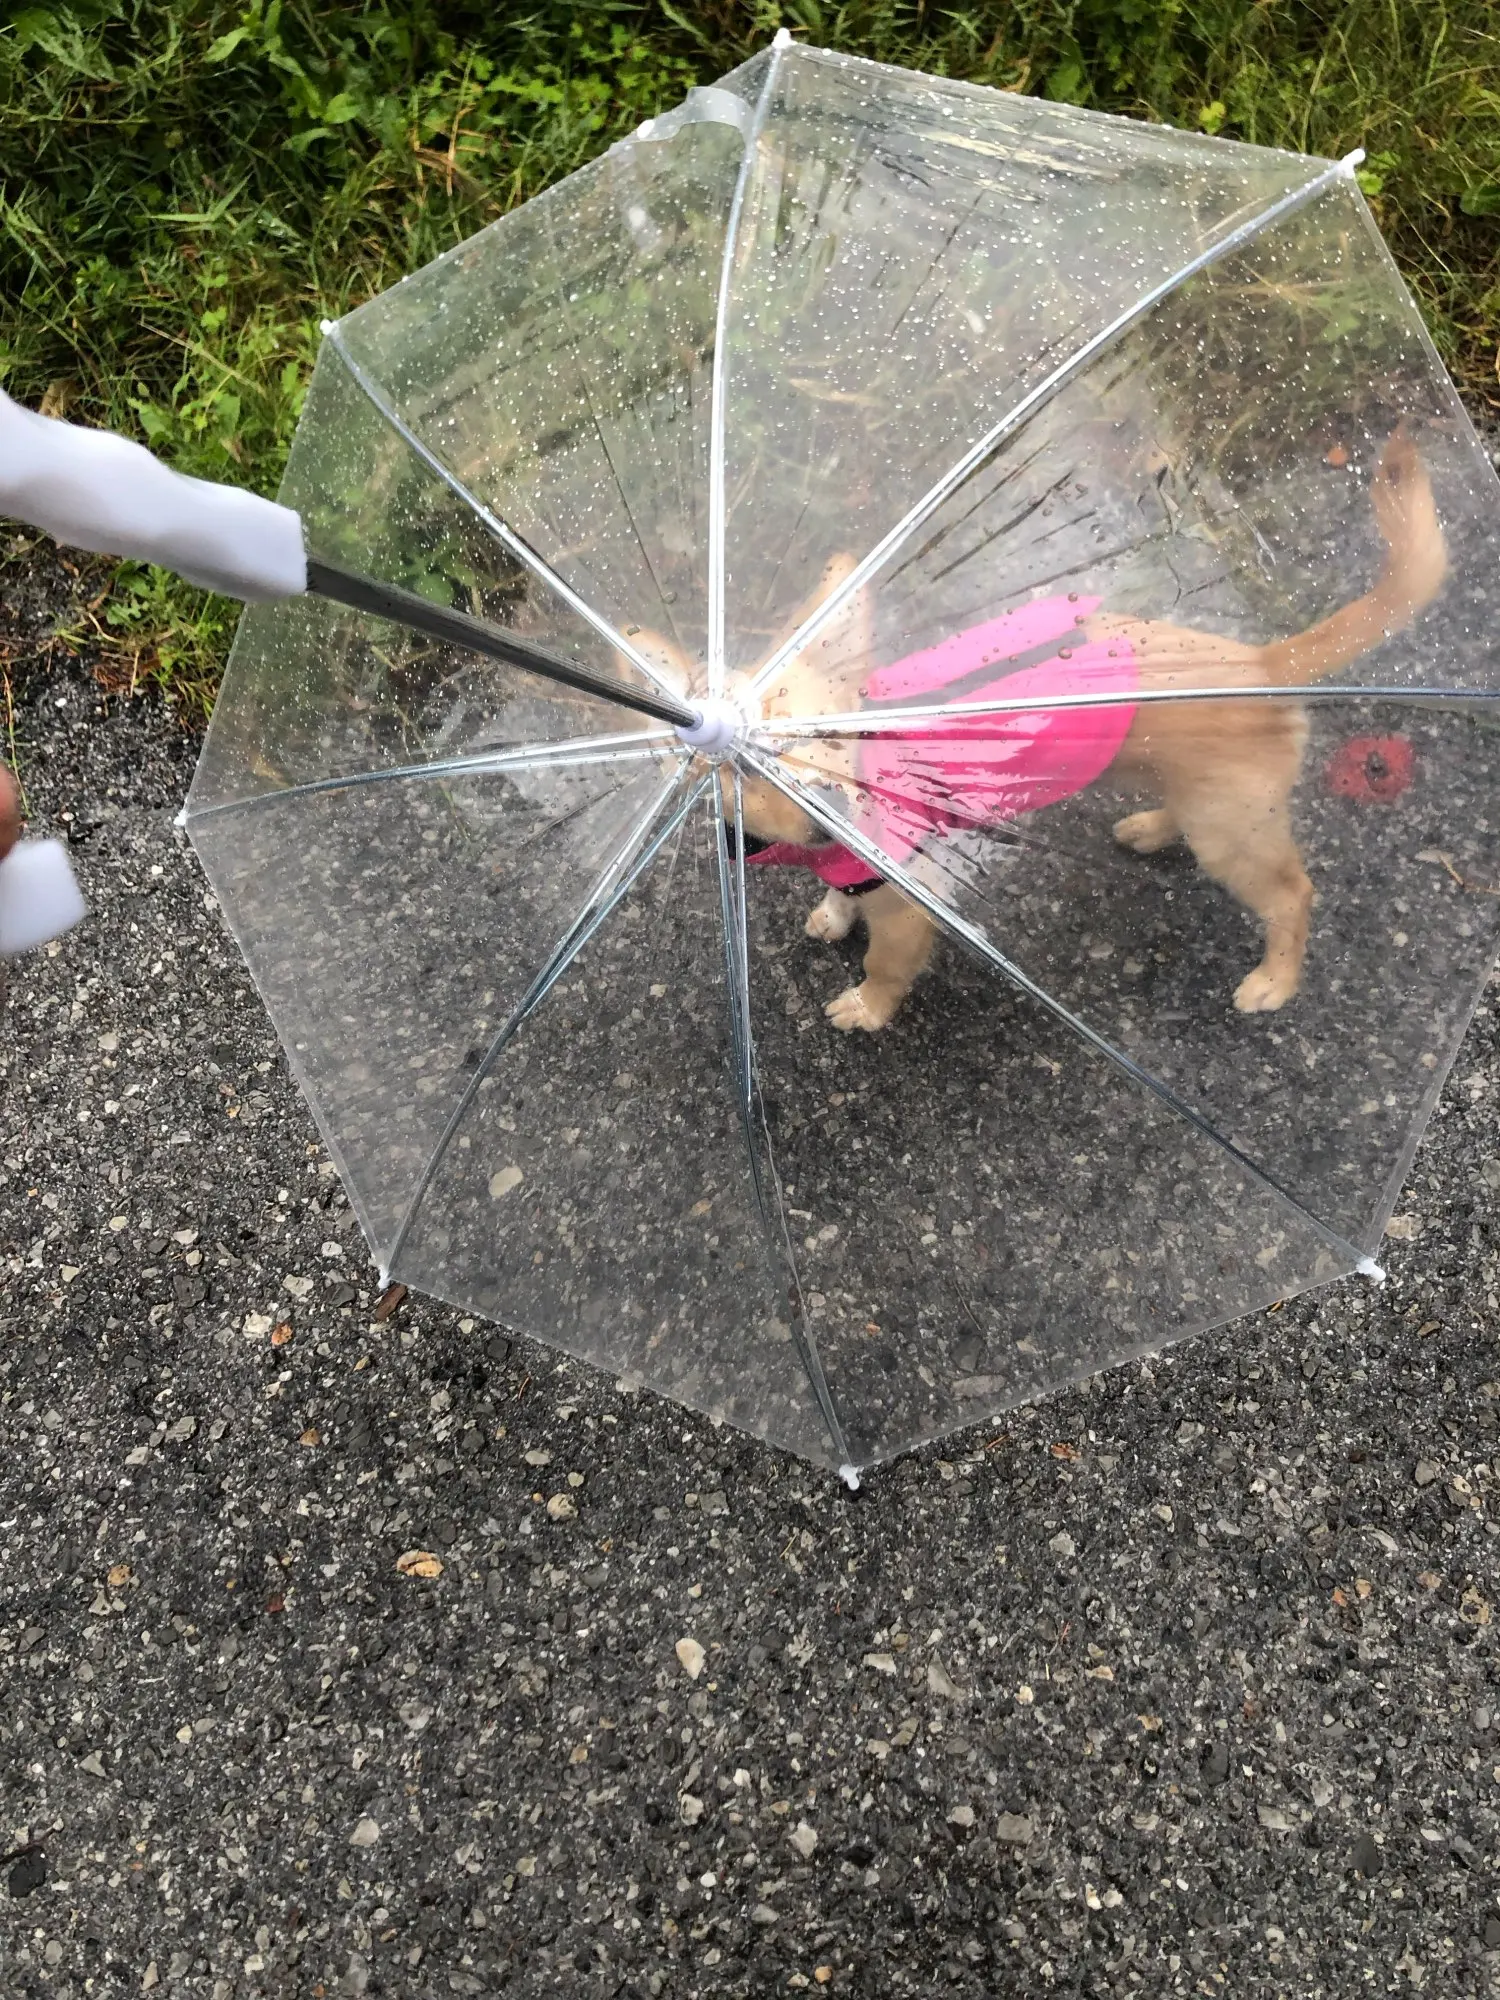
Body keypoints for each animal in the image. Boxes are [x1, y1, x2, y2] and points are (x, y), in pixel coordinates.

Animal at [636, 434, 1448, 1032]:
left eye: (831, 744)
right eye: (745, 774)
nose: (825, 813)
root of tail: (1262, 663)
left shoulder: (907, 904)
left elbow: (885, 965)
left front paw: (867, 1008)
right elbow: (837, 897)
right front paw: (833, 916)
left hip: (1233, 835)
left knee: (1293, 894)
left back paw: (1274, 980)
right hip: (1208, 805)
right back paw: (1151, 828)